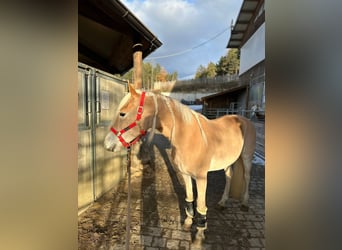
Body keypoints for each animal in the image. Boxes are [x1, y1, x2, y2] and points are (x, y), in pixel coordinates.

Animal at [104, 84, 256, 230]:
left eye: (122, 113)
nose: (107, 144)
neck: (188, 136)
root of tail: (244, 119)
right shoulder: (185, 174)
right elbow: (189, 199)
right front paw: (188, 223)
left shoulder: (202, 178)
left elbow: (201, 207)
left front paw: (199, 233)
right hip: (227, 161)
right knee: (229, 176)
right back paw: (222, 202)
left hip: (247, 158)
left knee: (247, 177)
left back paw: (245, 203)